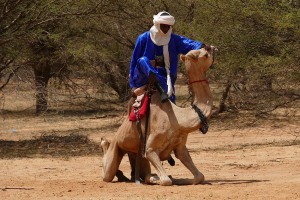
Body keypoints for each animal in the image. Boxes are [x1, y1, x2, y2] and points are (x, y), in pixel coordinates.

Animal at [102, 45, 217, 186]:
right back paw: (105, 143)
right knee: (107, 173)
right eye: (205, 54)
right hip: (117, 147)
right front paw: (155, 178)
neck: (179, 120)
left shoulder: (180, 148)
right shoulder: (150, 149)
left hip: (135, 152)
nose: (212, 47)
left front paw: (176, 179)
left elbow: (199, 176)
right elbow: (166, 180)